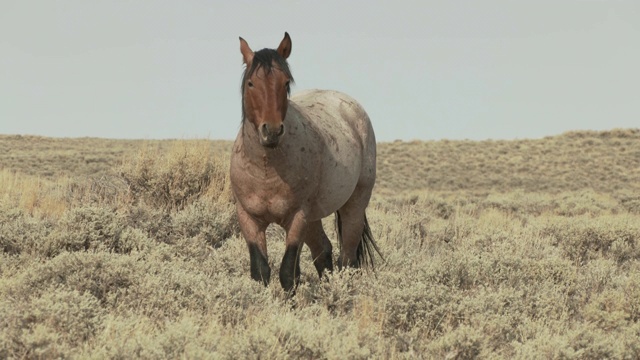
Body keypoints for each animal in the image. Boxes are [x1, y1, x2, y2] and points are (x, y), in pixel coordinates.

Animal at [229, 32, 380, 292]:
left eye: (285, 82)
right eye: (251, 83)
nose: (272, 131)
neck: (266, 169)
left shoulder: (297, 218)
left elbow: (288, 274)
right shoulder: (249, 219)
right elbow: (260, 272)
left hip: (354, 205)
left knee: (347, 259)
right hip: (314, 217)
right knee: (324, 252)